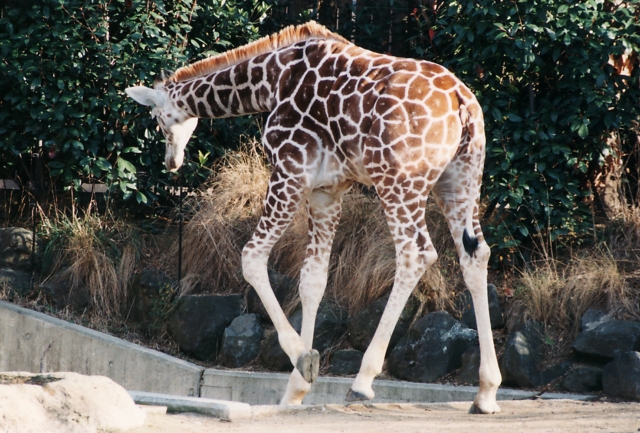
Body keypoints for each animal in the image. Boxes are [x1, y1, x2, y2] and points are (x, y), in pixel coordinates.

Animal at [125, 20, 502, 412]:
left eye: (157, 120)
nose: (171, 162)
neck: (270, 81)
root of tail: (462, 102)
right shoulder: (326, 190)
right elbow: (313, 279)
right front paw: (297, 388)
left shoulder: (290, 172)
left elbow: (252, 257)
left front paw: (301, 358)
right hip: (460, 179)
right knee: (475, 254)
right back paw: (486, 391)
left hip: (398, 180)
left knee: (416, 253)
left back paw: (363, 382)